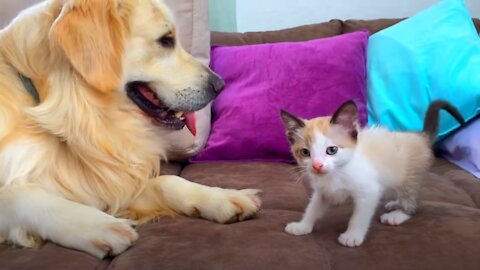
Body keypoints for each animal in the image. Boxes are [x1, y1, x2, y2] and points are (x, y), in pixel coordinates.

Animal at [282, 99, 464, 247]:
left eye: (332, 150)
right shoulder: (323, 193)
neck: (335, 174)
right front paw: (302, 226)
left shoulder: (369, 192)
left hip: (409, 179)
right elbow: (312, 209)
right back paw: (394, 204)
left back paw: (397, 215)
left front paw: (352, 236)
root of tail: (419, 136)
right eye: (305, 152)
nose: (317, 165)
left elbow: (359, 217)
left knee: (414, 203)